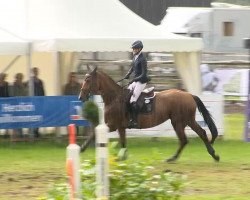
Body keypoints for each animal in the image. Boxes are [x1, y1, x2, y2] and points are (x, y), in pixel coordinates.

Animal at [77, 66, 219, 162]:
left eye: (88, 80)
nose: (80, 97)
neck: (114, 98)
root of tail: (189, 95)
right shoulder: (120, 127)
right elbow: (123, 142)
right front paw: (123, 157)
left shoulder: (112, 125)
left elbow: (94, 132)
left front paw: (82, 148)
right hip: (184, 121)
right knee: (195, 136)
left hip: (180, 121)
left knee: (190, 137)